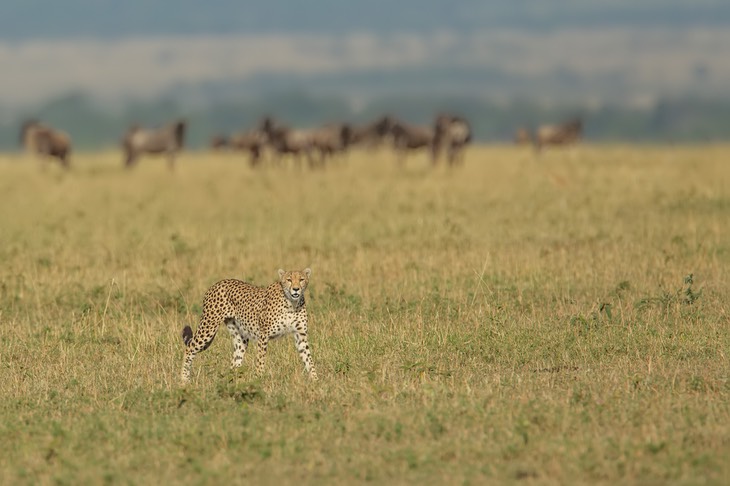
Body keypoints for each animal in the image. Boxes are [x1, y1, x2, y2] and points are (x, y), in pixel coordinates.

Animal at [179, 270, 316, 384]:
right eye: (289, 279)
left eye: (302, 279)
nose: (296, 289)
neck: (291, 303)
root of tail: (218, 283)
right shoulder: (263, 336)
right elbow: (260, 360)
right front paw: (259, 379)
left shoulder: (301, 335)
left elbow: (308, 358)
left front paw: (315, 380)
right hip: (209, 326)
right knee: (190, 348)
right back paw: (184, 379)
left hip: (240, 337)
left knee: (235, 361)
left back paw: (233, 382)